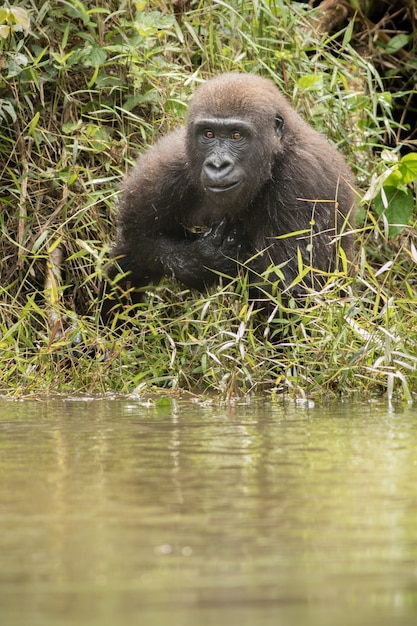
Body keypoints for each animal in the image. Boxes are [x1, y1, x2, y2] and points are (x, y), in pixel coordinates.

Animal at [103, 73, 354, 316]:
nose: (217, 165)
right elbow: (138, 234)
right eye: (208, 134)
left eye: (236, 136)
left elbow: (286, 289)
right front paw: (202, 260)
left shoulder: (303, 180)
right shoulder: (167, 165)